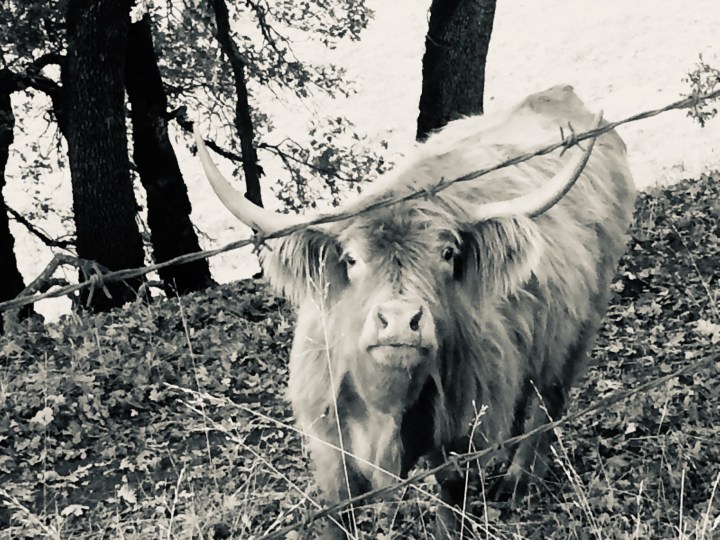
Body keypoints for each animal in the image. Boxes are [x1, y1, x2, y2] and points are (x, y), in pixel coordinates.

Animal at [194, 84, 636, 538]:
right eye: (351, 259)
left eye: (447, 254)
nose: (400, 322)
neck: (386, 403)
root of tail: (558, 94)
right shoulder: (330, 445)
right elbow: (337, 512)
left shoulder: (459, 434)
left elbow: (451, 502)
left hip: (580, 326)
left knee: (549, 400)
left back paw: (518, 479)